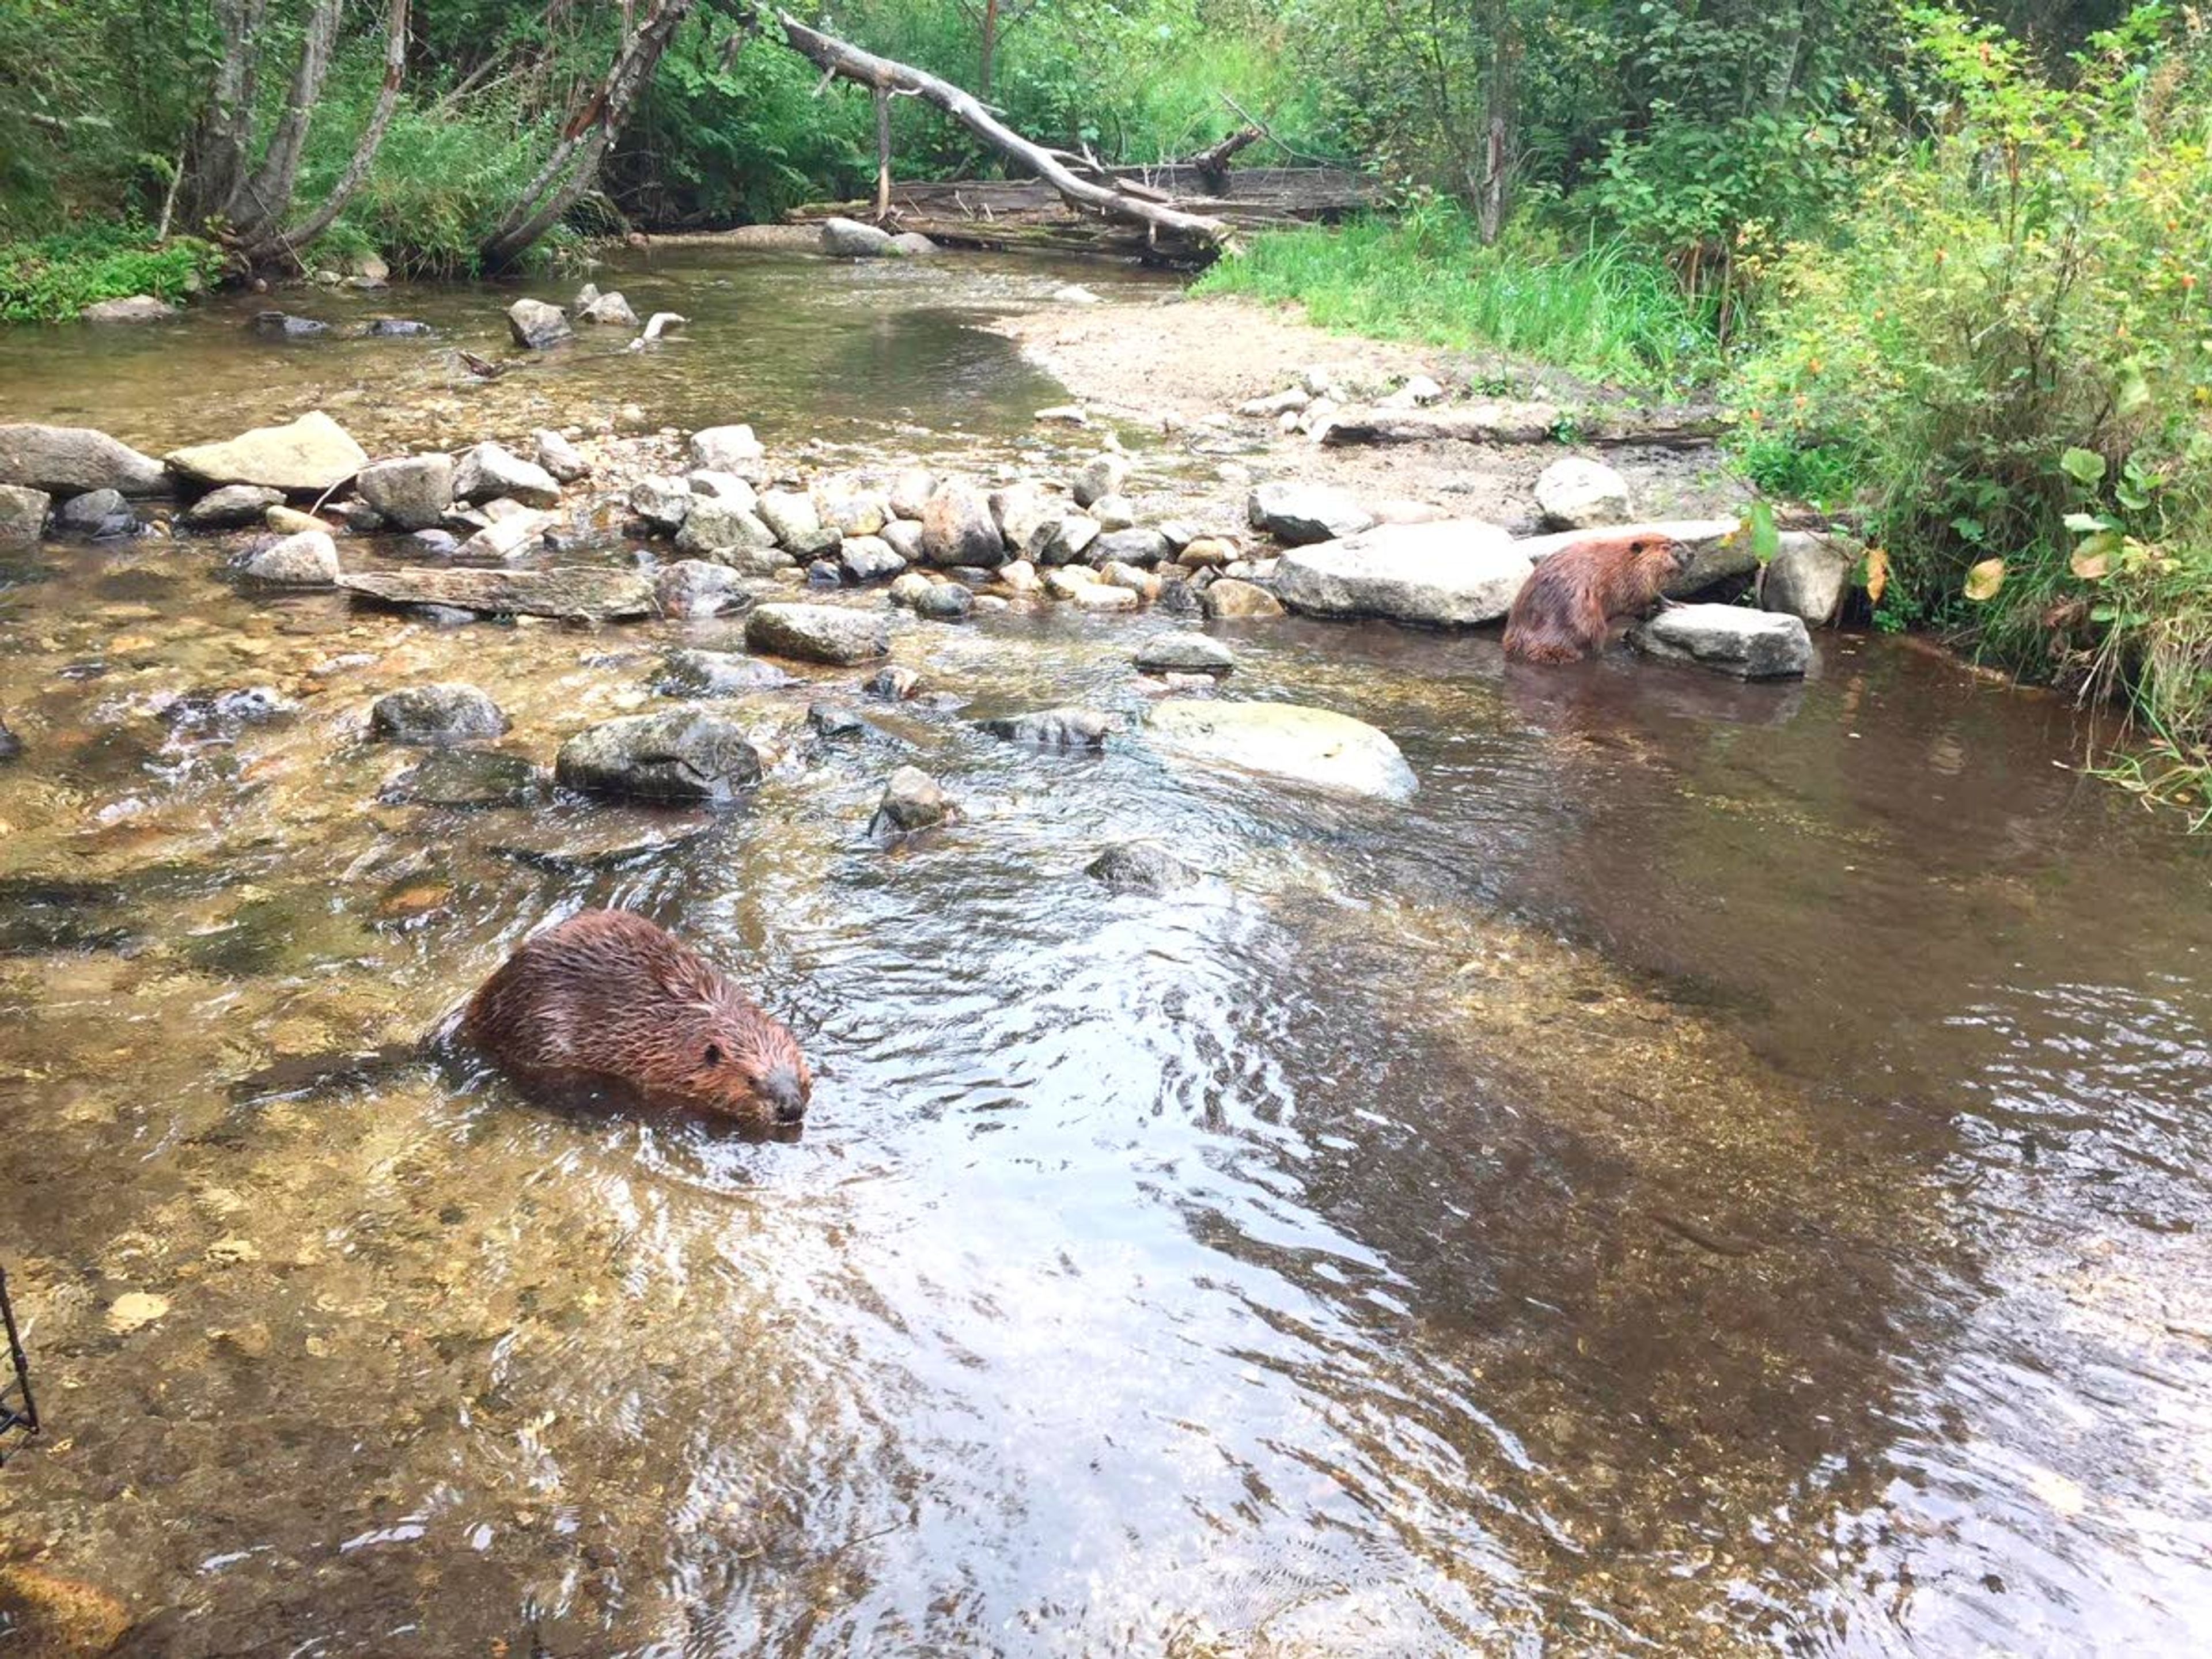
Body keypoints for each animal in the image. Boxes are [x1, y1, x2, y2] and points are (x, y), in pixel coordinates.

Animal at [1504, 533, 1690, 664]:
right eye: (1667, 546)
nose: (1692, 554)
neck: (1620, 562)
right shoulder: (1624, 582)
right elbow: (1634, 601)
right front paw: (1657, 610)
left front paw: (1674, 604)